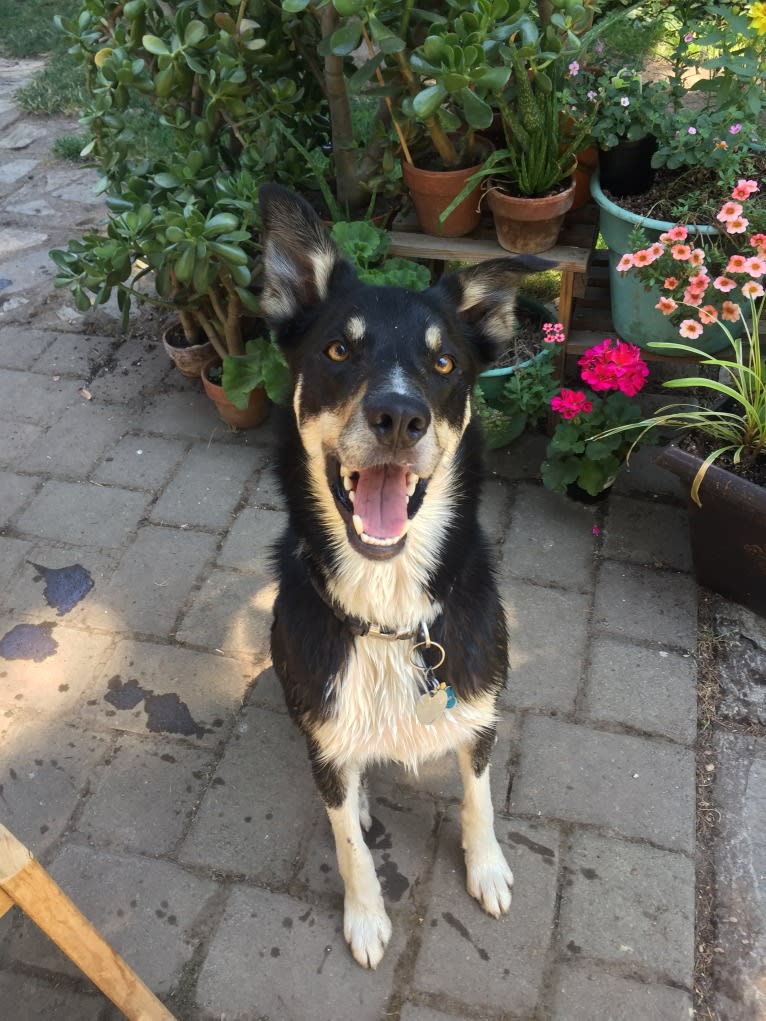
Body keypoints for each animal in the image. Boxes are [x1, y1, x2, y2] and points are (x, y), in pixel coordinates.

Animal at [261, 185, 527, 971]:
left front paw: (487, 867)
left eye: (442, 364)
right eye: (338, 350)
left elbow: (478, 795)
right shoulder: (324, 730)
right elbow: (348, 839)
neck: (387, 614)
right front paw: (366, 916)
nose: (399, 415)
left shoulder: (479, 709)